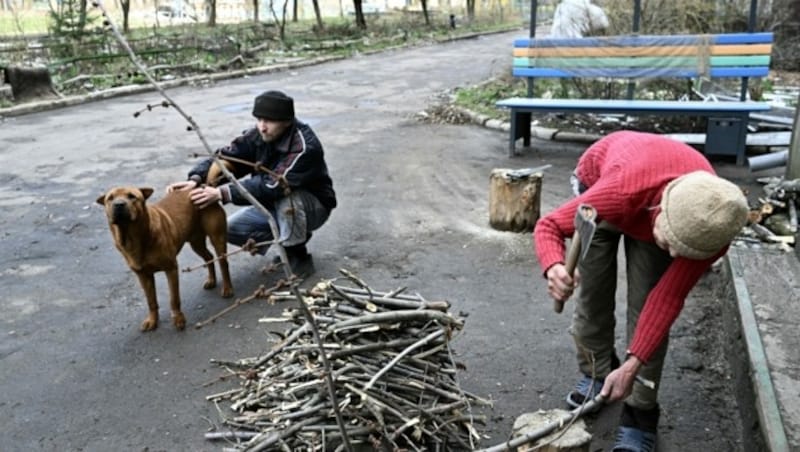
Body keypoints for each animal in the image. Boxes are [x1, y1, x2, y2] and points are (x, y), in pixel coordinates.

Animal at [97, 185, 233, 330]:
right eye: (110, 198)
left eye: (131, 196)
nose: (118, 204)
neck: (134, 239)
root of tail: (200, 187)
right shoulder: (143, 275)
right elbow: (151, 301)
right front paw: (152, 320)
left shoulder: (171, 268)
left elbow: (174, 299)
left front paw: (178, 318)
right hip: (196, 243)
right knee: (209, 258)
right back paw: (211, 280)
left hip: (217, 238)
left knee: (223, 263)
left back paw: (227, 288)